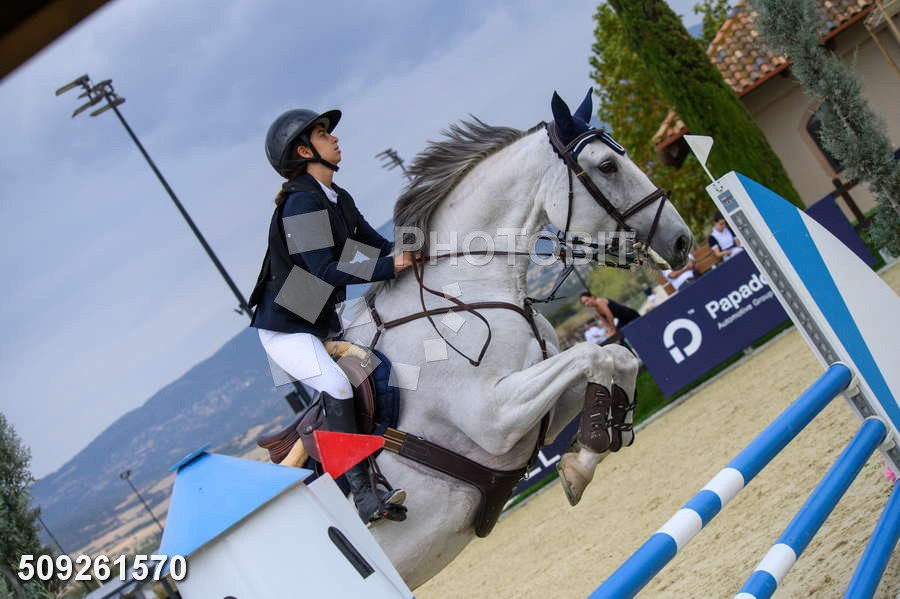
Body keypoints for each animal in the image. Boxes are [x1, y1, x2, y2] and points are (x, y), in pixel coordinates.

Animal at [338, 90, 692, 589]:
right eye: (607, 166)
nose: (681, 240)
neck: (468, 289)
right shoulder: (493, 418)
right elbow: (591, 354)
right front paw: (588, 450)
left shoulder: (538, 407)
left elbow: (617, 358)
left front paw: (594, 446)